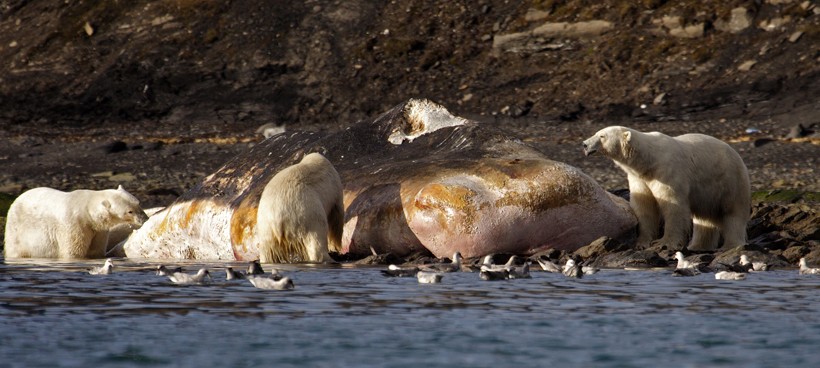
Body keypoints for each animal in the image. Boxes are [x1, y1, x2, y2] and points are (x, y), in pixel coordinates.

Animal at [3, 184, 149, 258]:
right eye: (129, 211)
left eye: (138, 203)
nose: (145, 219)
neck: (87, 209)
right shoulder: (75, 224)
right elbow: (73, 250)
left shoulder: (98, 230)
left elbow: (96, 249)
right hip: (17, 231)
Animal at [584, 125, 748, 252]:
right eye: (597, 132)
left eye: (602, 135)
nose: (584, 144)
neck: (648, 160)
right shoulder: (639, 179)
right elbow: (644, 207)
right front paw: (641, 243)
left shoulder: (667, 171)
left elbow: (673, 206)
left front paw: (664, 243)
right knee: (704, 219)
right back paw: (697, 246)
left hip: (730, 181)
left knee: (733, 213)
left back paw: (730, 245)